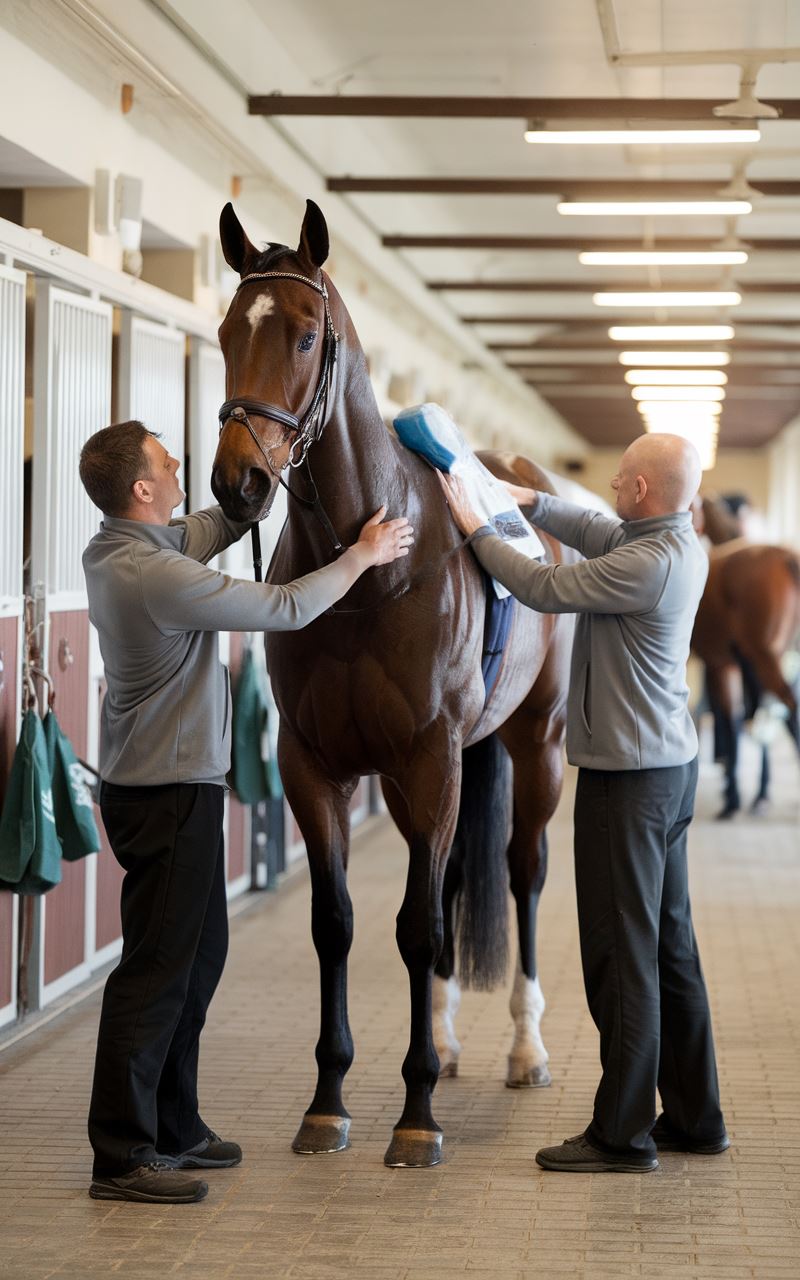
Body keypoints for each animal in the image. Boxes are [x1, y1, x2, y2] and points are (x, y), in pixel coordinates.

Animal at [211, 199, 573, 1172]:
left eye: (305, 335)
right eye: (225, 333)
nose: (237, 481)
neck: (372, 571)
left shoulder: (428, 759)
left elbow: (416, 929)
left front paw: (415, 1119)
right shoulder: (314, 767)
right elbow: (337, 922)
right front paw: (327, 1105)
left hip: (534, 746)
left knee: (521, 874)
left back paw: (526, 1047)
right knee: (446, 886)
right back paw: (444, 1043)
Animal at [691, 494, 793, 814]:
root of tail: (785, 557)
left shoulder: (717, 664)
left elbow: (729, 720)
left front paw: (732, 794)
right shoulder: (732, 665)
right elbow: (738, 718)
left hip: (764, 658)